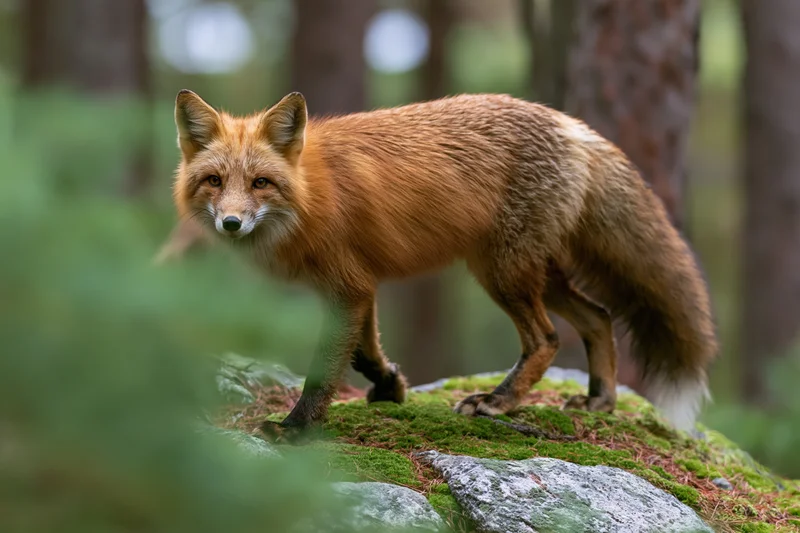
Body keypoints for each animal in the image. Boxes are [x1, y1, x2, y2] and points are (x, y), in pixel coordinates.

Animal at [170, 89, 718, 437]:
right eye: (214, 181)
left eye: (260, 183)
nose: (231, 224)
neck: (309, 193)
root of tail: (572, 126)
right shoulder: (361, 284)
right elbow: (366, 352)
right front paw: (390, 386)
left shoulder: (347, 285)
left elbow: (325, 370)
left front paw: (295, 429)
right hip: (536, 272)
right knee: (600, 318)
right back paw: (600, 400)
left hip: (503, 273)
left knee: (547, 338)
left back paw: (497, 400)